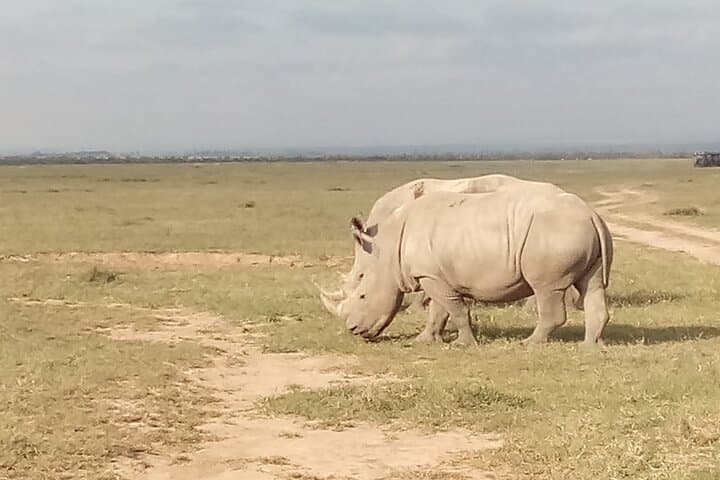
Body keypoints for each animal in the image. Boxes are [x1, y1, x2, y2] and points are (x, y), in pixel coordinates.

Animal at [318, 188, 613, 346]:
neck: (388, 252)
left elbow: (455, 310)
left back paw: (529, 344)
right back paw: (591, 347)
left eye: (362, 295)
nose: (353, 330)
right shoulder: (434, 275)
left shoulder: (431, 275)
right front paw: (424, 340)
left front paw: (464, 344)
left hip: (552, 235)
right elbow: (439, 311)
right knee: (592, 285)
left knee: (546, 290)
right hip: (579, 232)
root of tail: (592, 214)